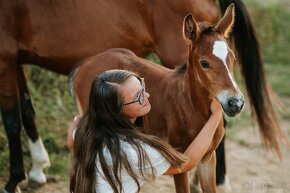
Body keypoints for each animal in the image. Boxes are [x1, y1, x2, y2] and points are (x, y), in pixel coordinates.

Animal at [0, 0, 286, 192]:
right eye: (204, 63)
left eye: (233, 58)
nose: (235, 103)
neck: (188, 104)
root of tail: (83, 65)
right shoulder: (181, 161)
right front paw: (18, 179)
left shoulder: (207, 160)